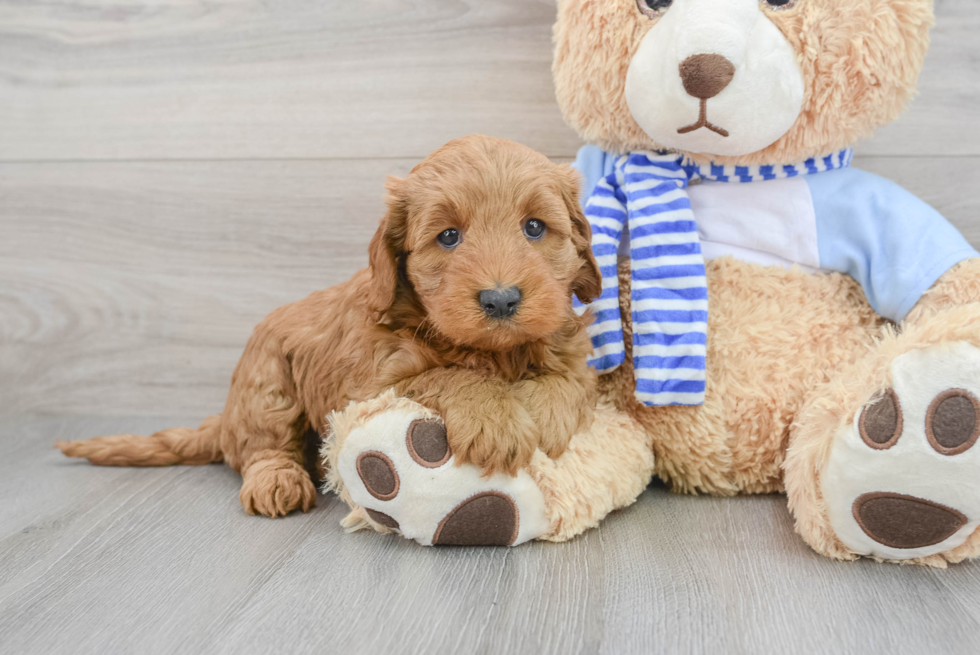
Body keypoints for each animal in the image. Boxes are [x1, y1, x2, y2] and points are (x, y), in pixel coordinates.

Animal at [59, 136, 604, 520]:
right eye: (449, 236)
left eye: (534, 227)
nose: (501, 298)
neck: (489, 349)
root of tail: (226, 418)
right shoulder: (373, 381)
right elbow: (448, 375)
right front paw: (496, 418)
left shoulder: (571, 349)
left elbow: (570, 378)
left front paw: (544, 412)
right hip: (266, 384)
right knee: (261, 447)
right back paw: (276, 481)